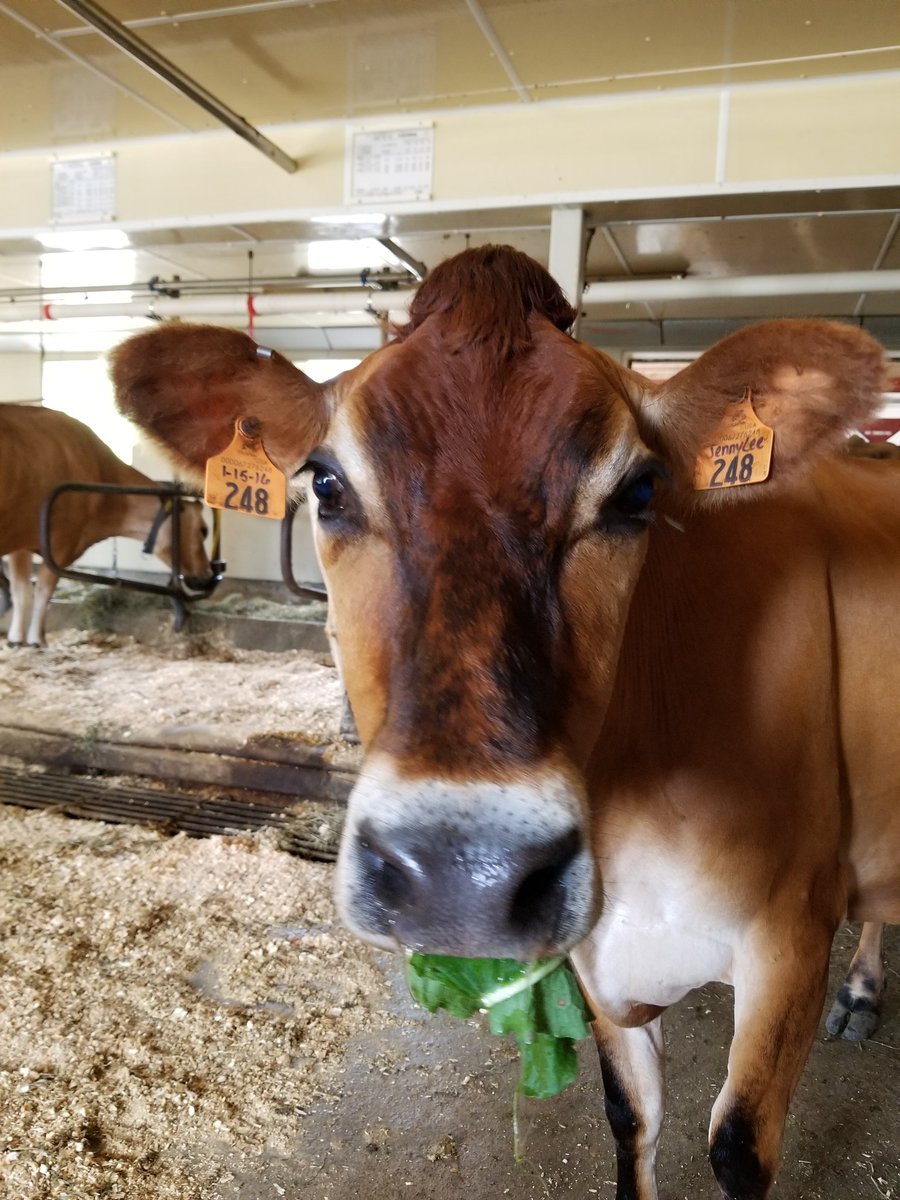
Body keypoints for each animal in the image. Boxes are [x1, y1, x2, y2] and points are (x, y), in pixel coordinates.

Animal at [0, 404, 214, 647]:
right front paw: (37, 639)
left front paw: (16, 639)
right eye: (203, 530)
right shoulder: (63, 542)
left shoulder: (22, 541)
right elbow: (43, 590)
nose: (207, 574)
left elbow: (21, 590)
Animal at [109, 245, 899, 1200]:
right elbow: (632, 1119)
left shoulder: (794, 932)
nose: (462, 876)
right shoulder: (594, 945)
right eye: (326, 484)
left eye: (638, 491)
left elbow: (737, 1150)